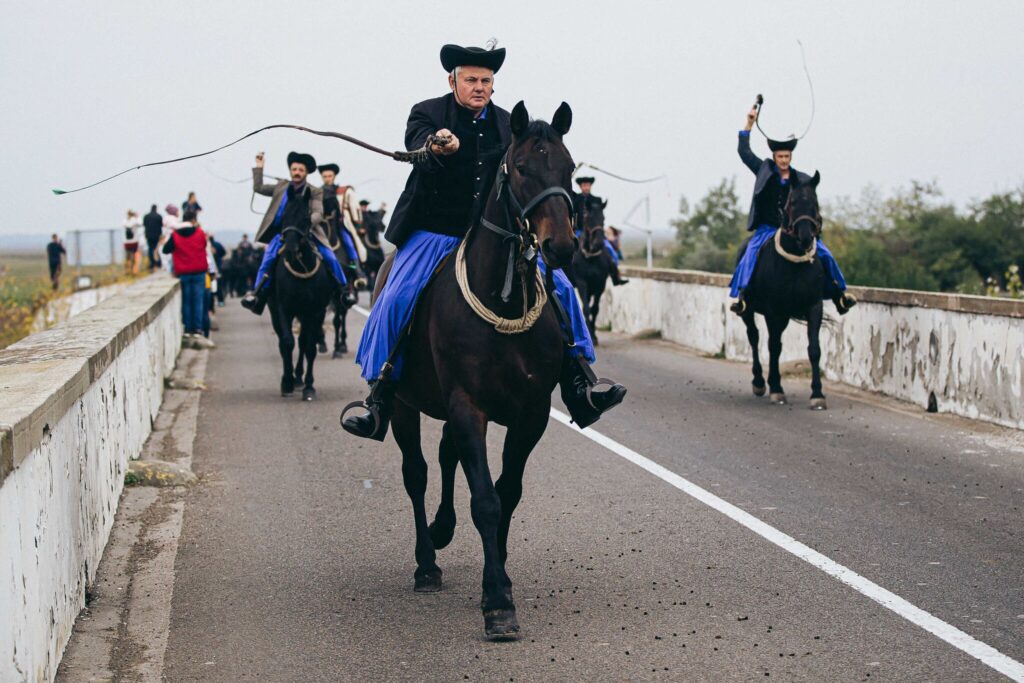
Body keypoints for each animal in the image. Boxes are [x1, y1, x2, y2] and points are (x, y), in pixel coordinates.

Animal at [268, 224, 331, 401]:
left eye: (306, 223)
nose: (290, 250)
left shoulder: (316, 312)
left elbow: (309, 347)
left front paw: (309, 387)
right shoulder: (284, 310)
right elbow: (288, 342)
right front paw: (287, 383)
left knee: (303, 341)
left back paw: (299, 378)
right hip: (276, 314)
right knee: (283, 343)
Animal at [374, 101, 585, 643]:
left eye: (569, 168)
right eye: (522, 168)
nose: (561, 249)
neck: (502, 296)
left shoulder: (530, 414)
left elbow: (507, 493)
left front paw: (501, 570)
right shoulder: (469, 407)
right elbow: (486, 500)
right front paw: (498, 604)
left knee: (446, 457)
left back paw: (443, 528)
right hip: (402, 406)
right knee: (416, 473)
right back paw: (427, 562)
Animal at [745, 169, 831, 409]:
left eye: (815, 202)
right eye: (792, 203)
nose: (805, 237)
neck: (794, 264)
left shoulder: (814, 306)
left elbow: (814, 349)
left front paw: (817, 394)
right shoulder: (773, 310)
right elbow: (773, 346)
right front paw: (776, 388)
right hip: (750, 310)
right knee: (754, 336)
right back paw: (759, 382)